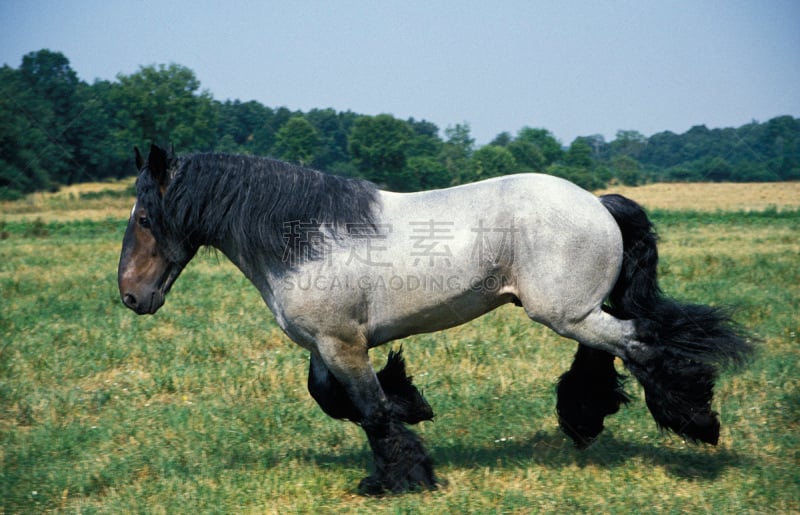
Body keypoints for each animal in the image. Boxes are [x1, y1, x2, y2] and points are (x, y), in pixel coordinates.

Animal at [117, 144, 752, 496]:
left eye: (146, 217)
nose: (130, 296)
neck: (308, 240)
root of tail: (597, 203)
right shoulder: (328, 345)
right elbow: (334, 398)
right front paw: (414, 406)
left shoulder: (340, 342)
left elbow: (368, 411)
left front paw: (401, 479)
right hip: (574, 312)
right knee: (609, 351)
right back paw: (586, 418)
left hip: (564, 313)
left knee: (639, 346)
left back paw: (697, 423)